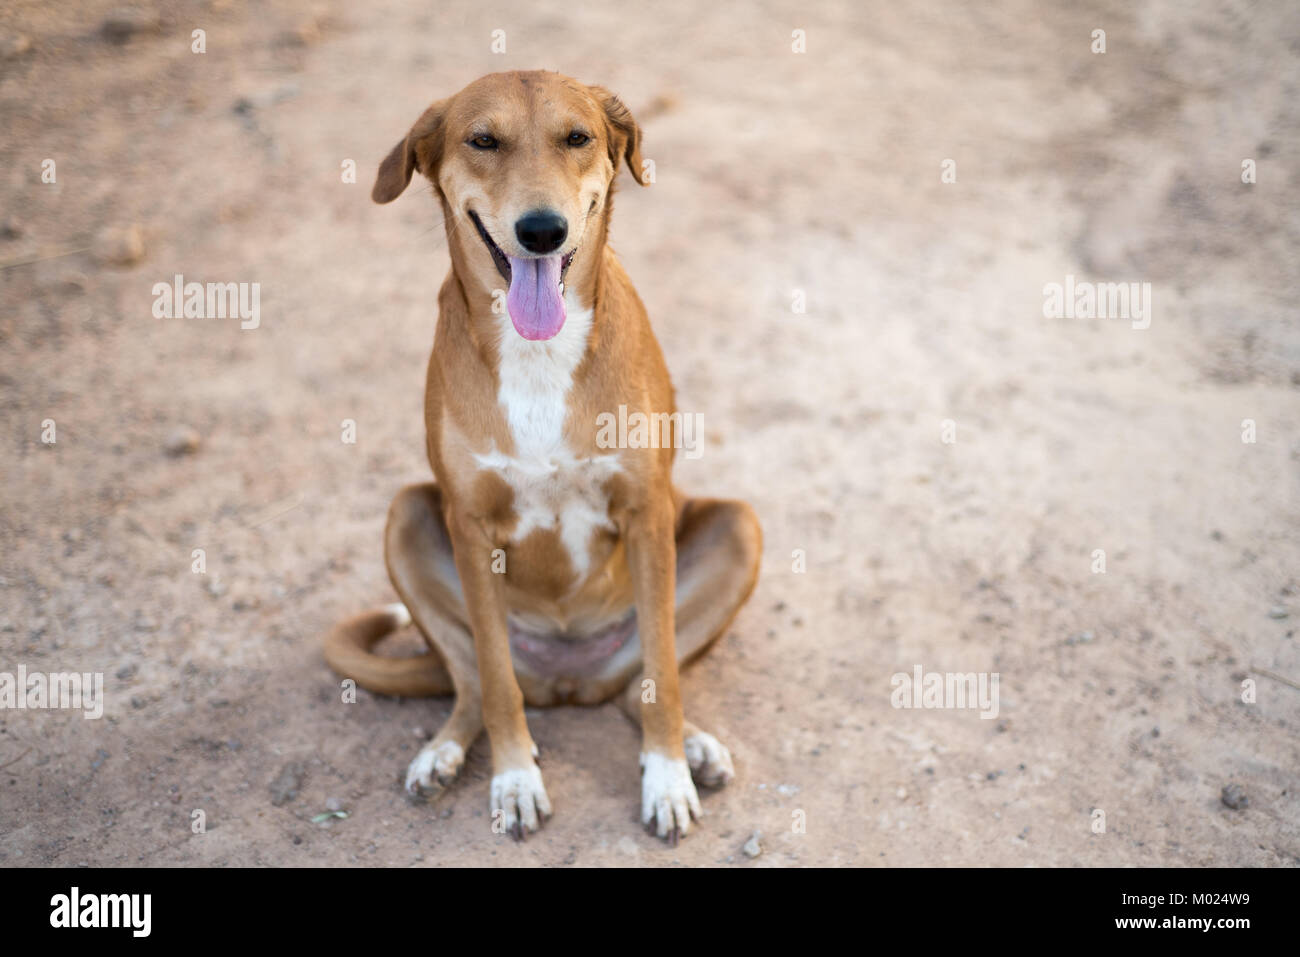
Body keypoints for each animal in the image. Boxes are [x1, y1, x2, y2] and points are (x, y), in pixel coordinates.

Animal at [325, 70, 764, 842]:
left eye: (577, 137)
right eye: (483, 140)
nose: (541, 230)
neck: (539, 352)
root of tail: (566, 679)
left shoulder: (648, 513)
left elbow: (662, 675)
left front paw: (667, 778)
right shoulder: (470, 526)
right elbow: (495, 681)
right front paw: (514, 779)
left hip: (737, 527)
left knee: (638, 681)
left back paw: (692, 747)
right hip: (407, 515)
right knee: (477, 679)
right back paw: (445, 750)